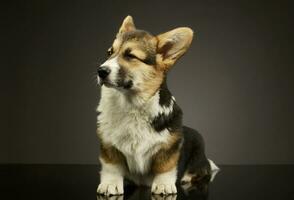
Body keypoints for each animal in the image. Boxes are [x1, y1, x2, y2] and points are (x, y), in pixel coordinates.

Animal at [96, 15, 218, 195]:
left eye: (130, 56)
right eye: (109, 52)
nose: (100, 71)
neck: (131, 104)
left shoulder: (168, 147)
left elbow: (165, 167)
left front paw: (163, 185)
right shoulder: (108, 144)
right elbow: (112, 166)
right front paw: (110, 184)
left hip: (199, 160)